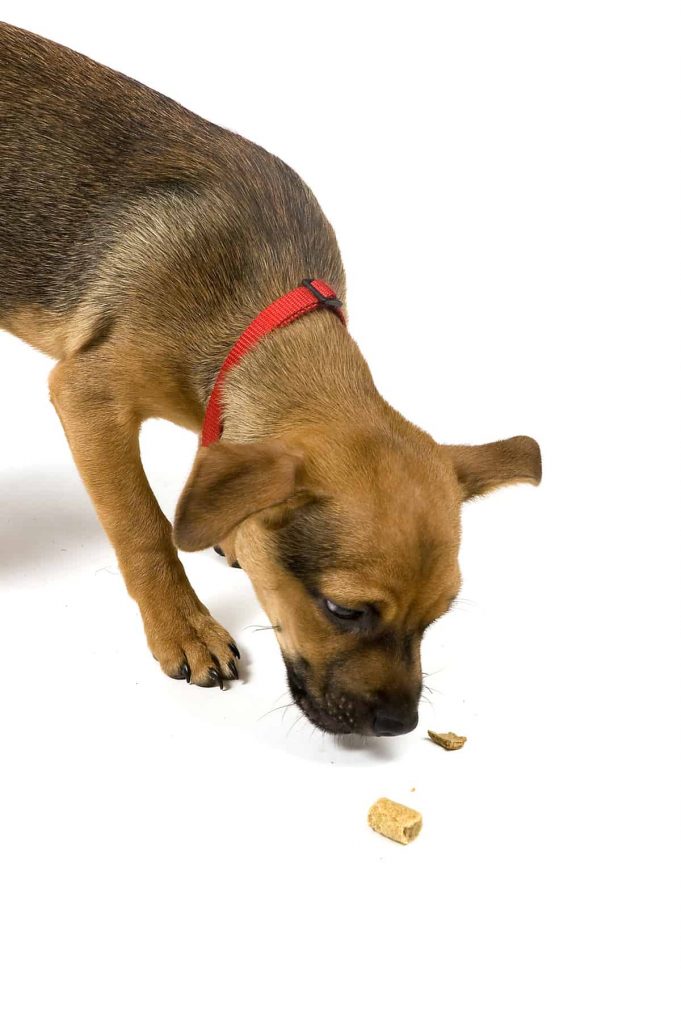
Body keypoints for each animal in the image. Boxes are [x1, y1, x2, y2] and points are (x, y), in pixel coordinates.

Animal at [1, 24, 540, 737]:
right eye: (344, 611)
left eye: (438, 617)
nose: (400, 727)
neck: (262, 316)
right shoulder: (90, 398)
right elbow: (144, 524)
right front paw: (184, 625)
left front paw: (230, 532)